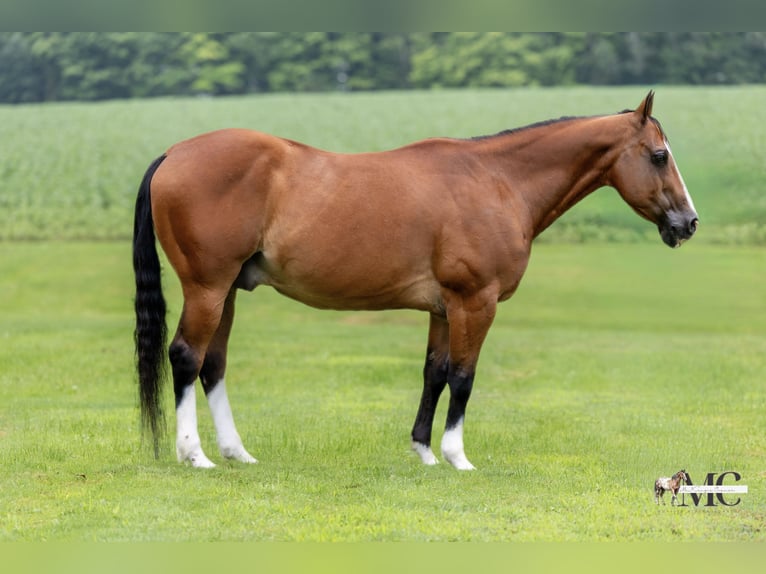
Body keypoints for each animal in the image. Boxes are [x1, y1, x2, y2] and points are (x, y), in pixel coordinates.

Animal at [133, 91, 698, 470]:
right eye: (659, 156)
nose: (688, 223)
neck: (498, 182)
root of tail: (174, 153)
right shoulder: (476, 302)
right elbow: (464, 377)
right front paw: (456, 456)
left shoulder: (444, 308)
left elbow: (435, 373)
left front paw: (424, 451)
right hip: (207, 288)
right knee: (186, 356)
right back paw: (195, 455)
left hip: (227, 291)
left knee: (214, 364)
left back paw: (236, 451)